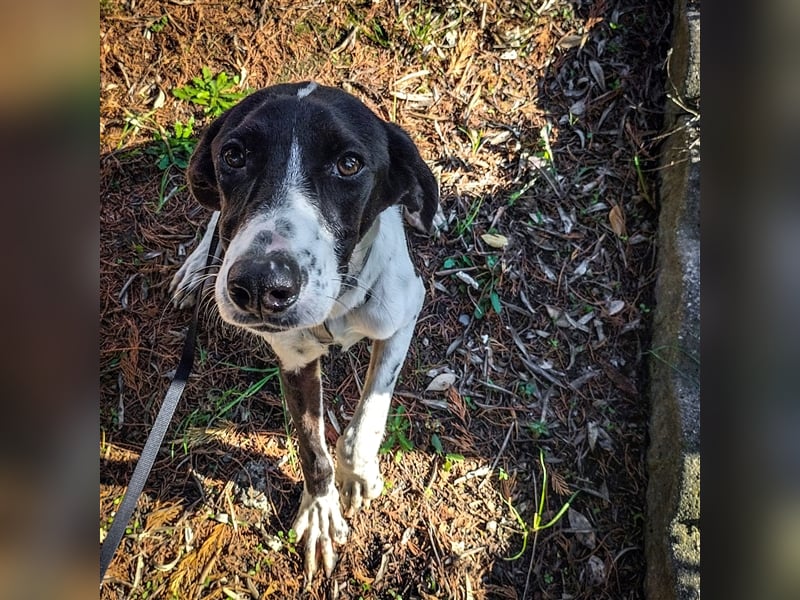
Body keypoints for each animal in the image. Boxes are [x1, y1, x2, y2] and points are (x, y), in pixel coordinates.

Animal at [170, 82, 440, 580]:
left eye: (349, 164)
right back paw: (198, 267)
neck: (337, 305)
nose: (259, 285)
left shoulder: (403, 316)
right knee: (215, 221)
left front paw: (358, 476)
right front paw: (319, 513)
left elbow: (365, 420)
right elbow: (313, 449)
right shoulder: (295, 362)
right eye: (233, 155)